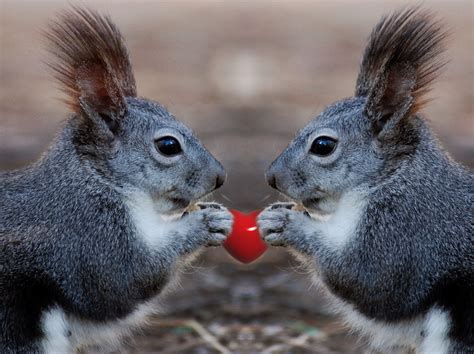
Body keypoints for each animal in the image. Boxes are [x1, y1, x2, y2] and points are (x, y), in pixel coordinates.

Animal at [0, 6, 233, 352]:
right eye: (168, 145)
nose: (219, 177)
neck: (97, 180)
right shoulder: (87, 235)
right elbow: (124, 280)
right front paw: (203, 225)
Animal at [260, 6, 474, 352]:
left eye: (323, 145)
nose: (271, 178)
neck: (393, 177)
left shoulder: (408, 232)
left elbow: (369, 280)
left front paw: (286, 224)